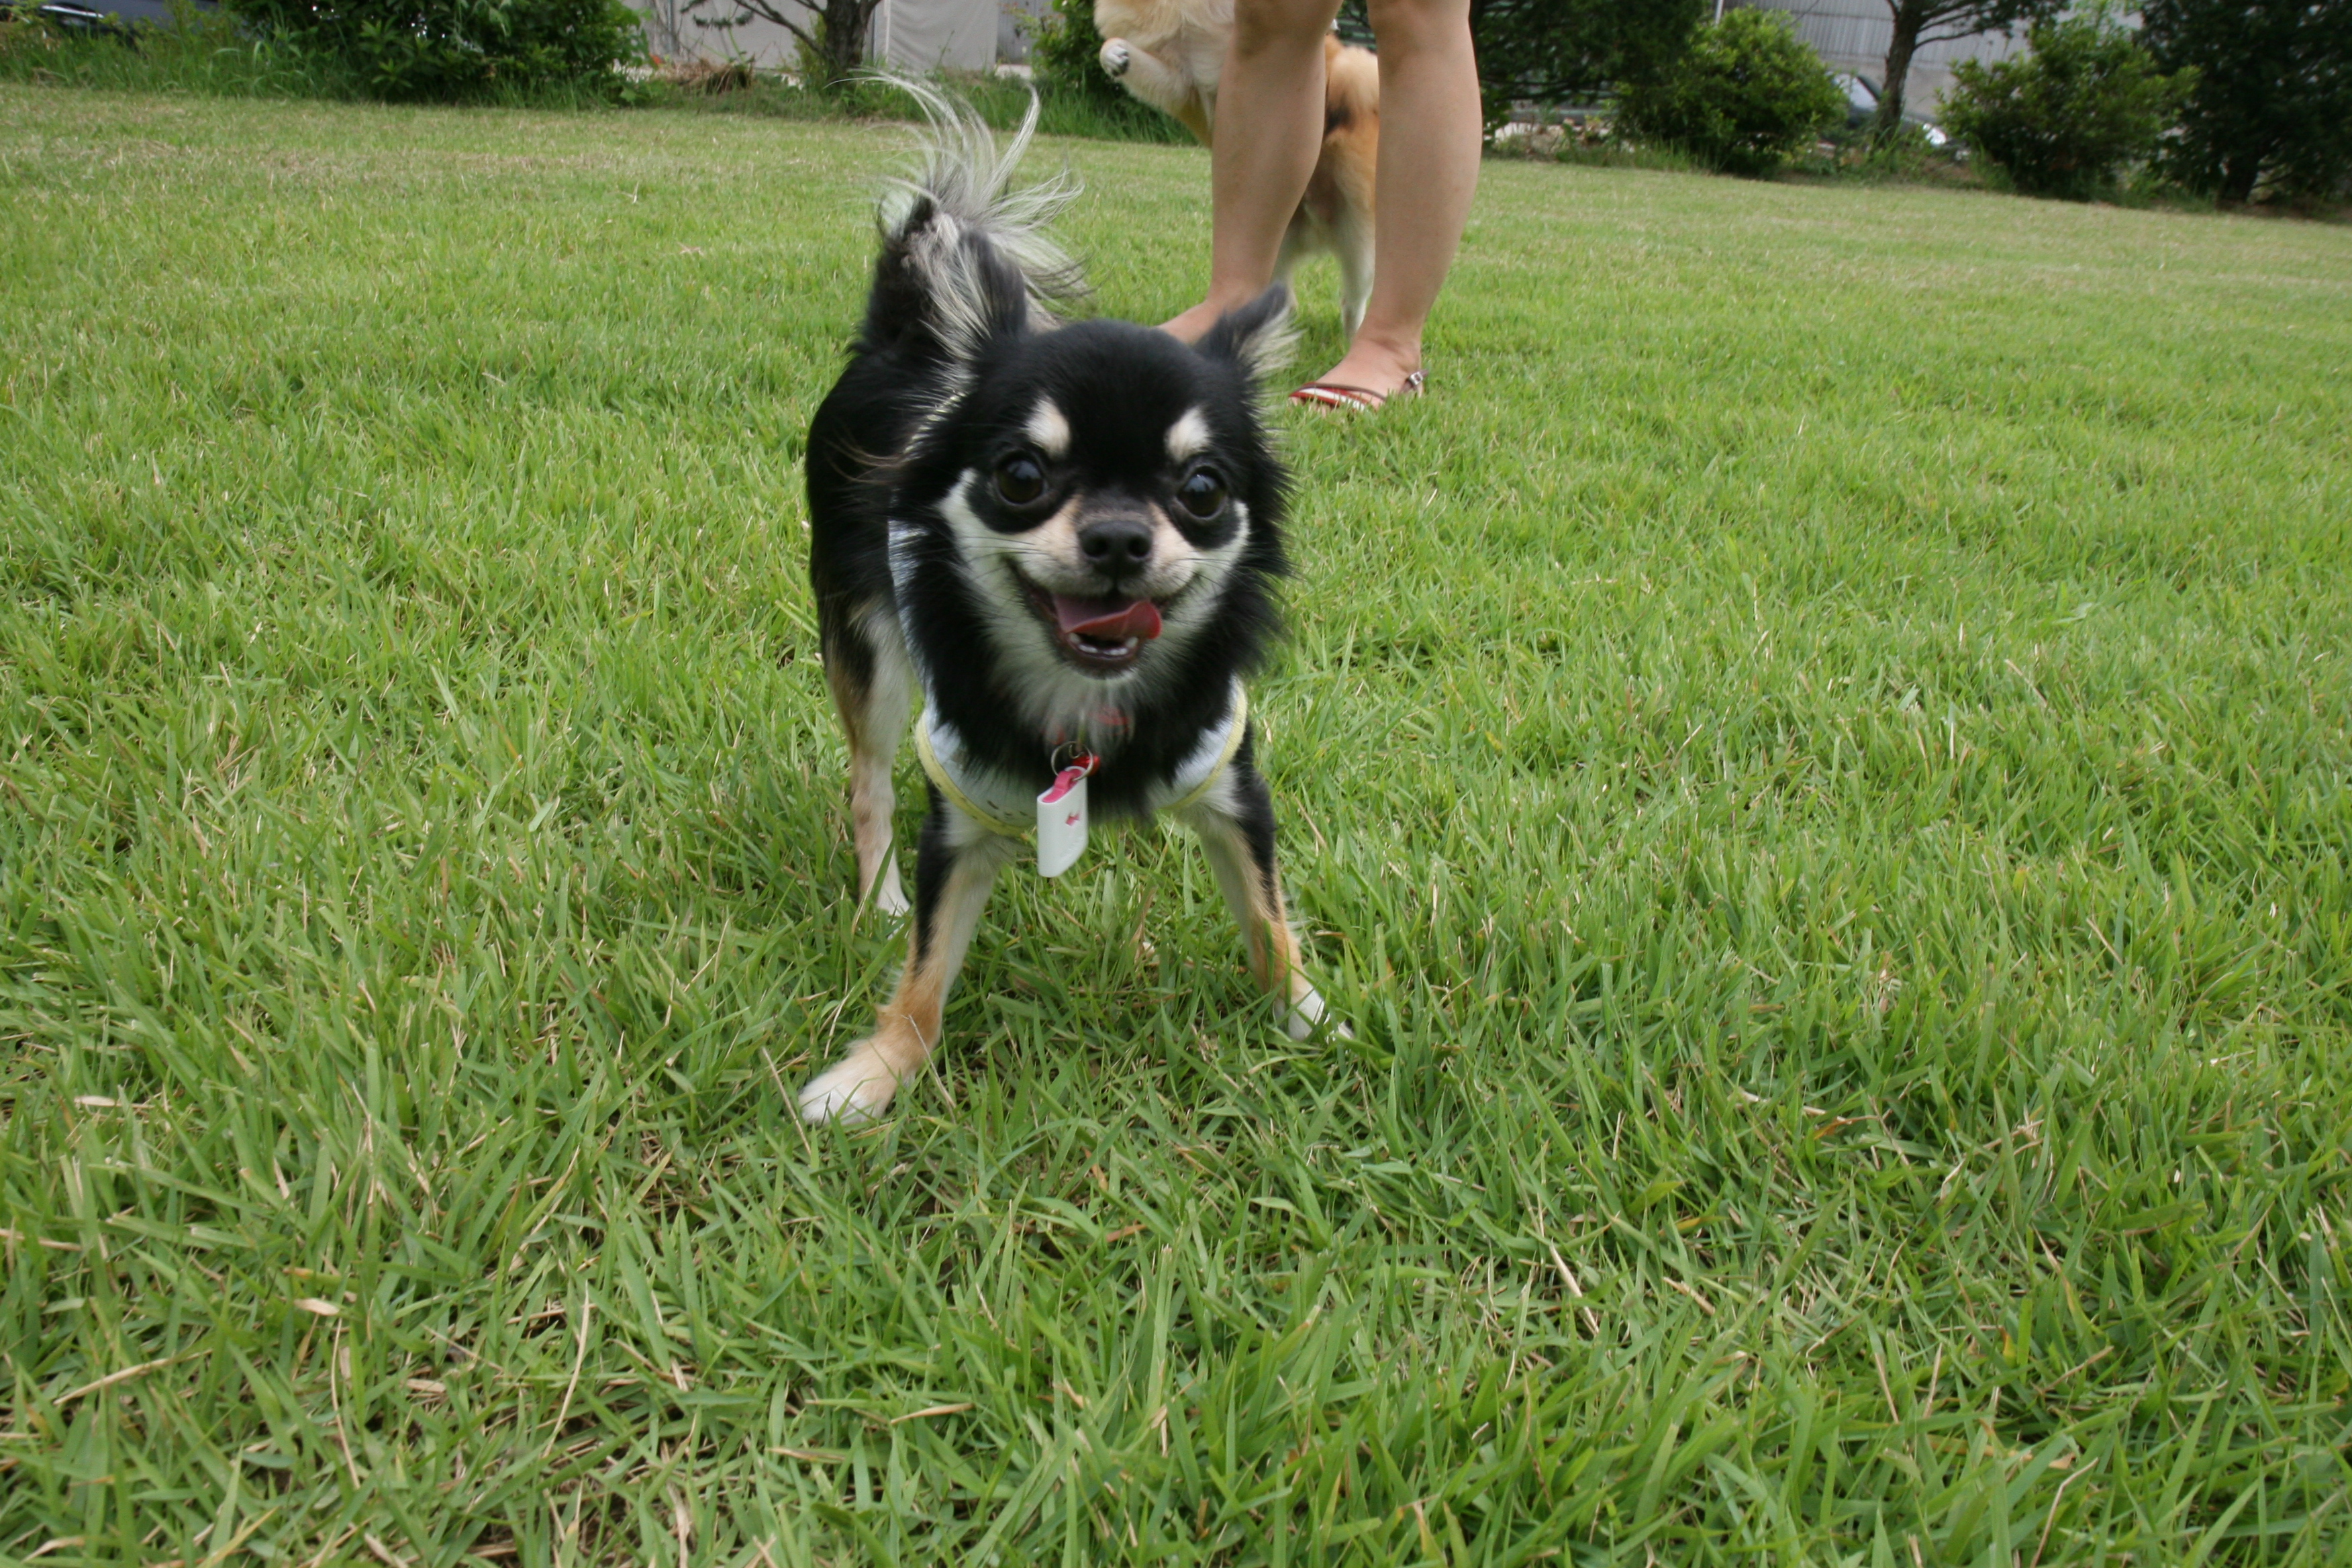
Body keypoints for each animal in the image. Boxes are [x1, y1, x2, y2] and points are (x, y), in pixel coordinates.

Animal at [797, 84, 1339, 1125]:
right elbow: (925, 973)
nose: (1121, 539)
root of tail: (906, 334)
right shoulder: (959, 807)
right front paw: (873, 1074)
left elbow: (1269, 915)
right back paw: (876, 897)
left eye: (1203, 490)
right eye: (1021, 476)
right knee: (867, 781)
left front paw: (1311, 1017)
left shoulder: (1232, 783)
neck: (1088, 699)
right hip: (870, 650)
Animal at [1094, 1, 1379, 338]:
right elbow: (1118, 51)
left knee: (1353, 301)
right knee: (1282, 297)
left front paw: (1333, 23)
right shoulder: (1179, 82)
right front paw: (1115, 55)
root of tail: (1317, 231)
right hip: (1273, 249)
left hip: (1360, 242)